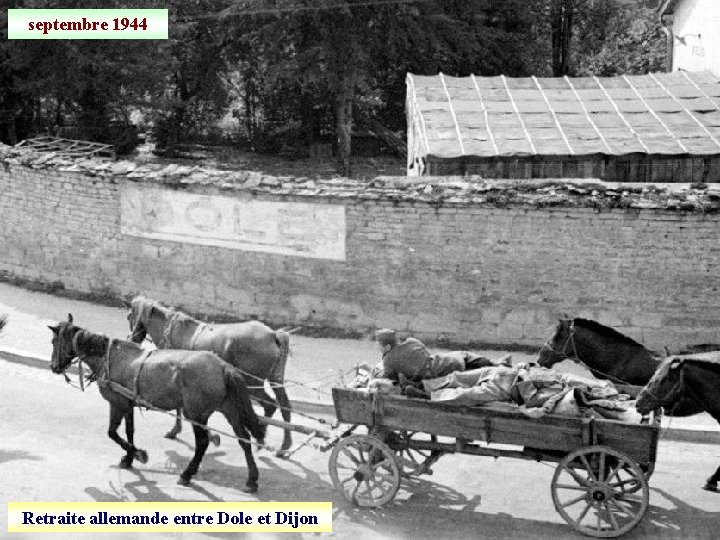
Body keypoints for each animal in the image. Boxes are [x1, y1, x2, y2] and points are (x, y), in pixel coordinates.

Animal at [50, 314, 268, 492]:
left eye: (54, 341)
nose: (54, 367)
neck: (109, 357)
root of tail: (222, 366)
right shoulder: (128, 405)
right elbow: (129, 431)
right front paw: (128, 458)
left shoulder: (117, 403)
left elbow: (112, 433)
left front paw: (139, 454)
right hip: (229, 409)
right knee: (243, 439)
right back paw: (252, 479)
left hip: (195, 413)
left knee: (203, 443)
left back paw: (187, 474)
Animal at [127, 296, 292, 456]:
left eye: (129, 316)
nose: (131, 339)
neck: (171, 329)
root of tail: (273, 334)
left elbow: (182, 410)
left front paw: (184, 432)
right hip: (275, 379)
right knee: (284, 405)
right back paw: (283, 445)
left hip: (252, 383)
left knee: (270, 405)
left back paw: (261, 437)